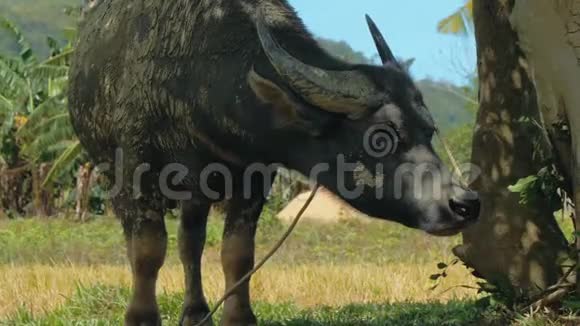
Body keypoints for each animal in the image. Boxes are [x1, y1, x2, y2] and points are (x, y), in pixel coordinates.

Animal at [68, 0, 480, 326]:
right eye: (381, 137)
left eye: (429, 130)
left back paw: (196, 313)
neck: (194, 81)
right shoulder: (135, 168)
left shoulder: (254, 175)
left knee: (191, 242)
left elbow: (237, 253)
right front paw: (141, 317)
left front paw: (239, 317)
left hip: (198, 193)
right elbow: (147, 251)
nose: (465, 204)